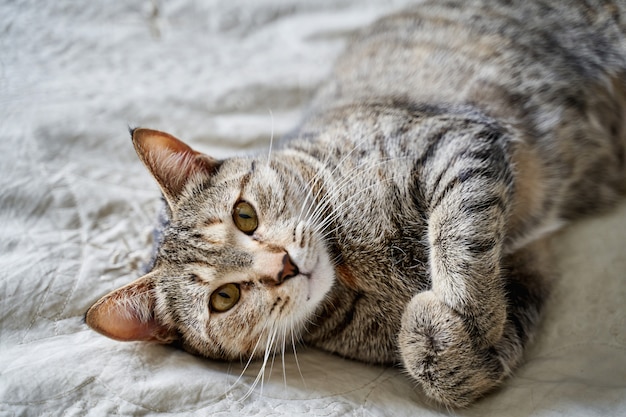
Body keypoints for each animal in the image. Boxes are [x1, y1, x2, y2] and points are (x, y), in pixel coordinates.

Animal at [84, 0, 624, 408]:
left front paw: (466, 312)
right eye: (225, 298)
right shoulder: (529, 260)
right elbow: (445, 363)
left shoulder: (453, 141)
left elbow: (460, 241)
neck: (349, 267)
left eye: (245, 215)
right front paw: (461, 344)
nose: (283, 266)